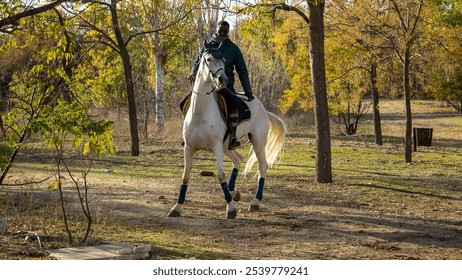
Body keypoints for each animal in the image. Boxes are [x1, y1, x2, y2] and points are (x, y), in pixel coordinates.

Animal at [168, 48, 286, 219]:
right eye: (208, 59)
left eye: (223, 61)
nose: (222, 79)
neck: (200, 113)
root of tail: (262, 108)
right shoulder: (189, 148)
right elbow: (185, 177)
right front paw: (176, 208)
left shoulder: (216, 147)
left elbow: (220, 175)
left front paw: (230, 209)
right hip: (227, 146)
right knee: (238, 159)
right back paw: (233, 191)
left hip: (257, 142)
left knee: (262, 166)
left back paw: (255, 201)